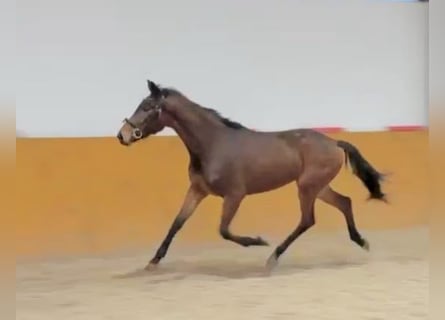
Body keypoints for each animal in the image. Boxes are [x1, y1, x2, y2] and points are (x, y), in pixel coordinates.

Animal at [117, 79, 386, 270]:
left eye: (147, 107)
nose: (122, 135)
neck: (213, 144)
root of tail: (334, 143)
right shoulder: (198, 190)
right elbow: (177, 222)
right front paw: (153, 261)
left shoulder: (235, 195)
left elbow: (224, 230)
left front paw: (257, 241)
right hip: (318, 187)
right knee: (344, 202)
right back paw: (361, 241)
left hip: (307, 187)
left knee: (307, 220)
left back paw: (272, 257)